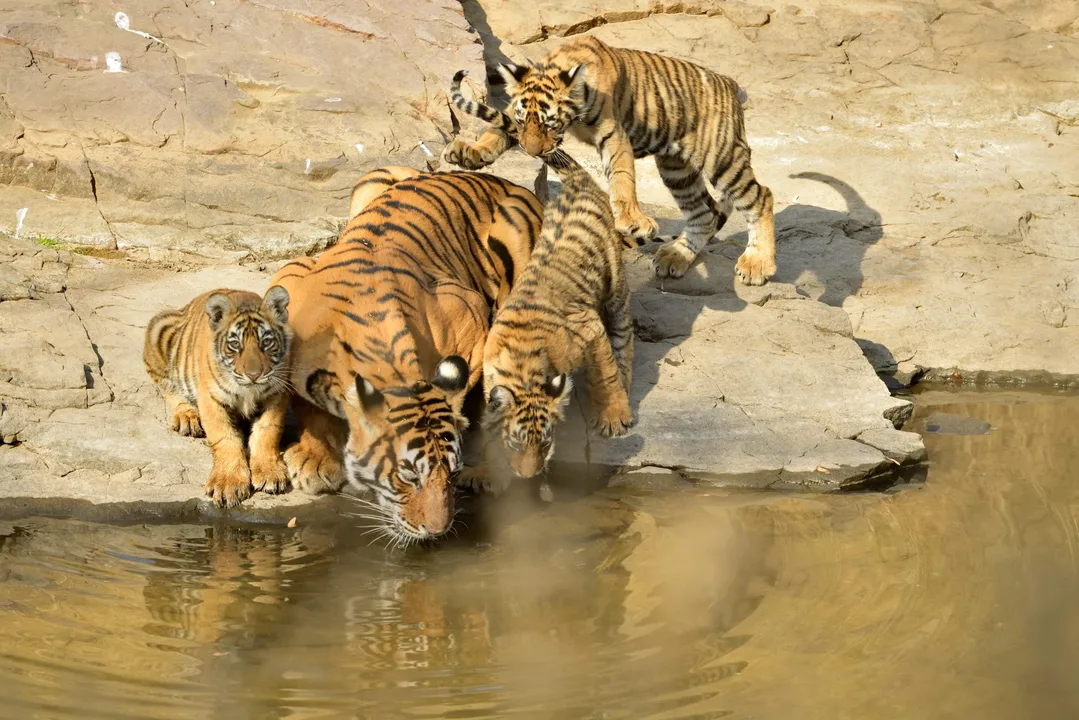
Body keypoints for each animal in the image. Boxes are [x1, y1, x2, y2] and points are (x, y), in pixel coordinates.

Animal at [143, 286, 293, 507]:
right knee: (168, 387)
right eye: (235, 344)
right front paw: (228, 483)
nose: (253, 374)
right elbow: (224, 437)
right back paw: (187, 417)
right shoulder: (210, 398)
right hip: (159, 329)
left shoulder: (277, 393)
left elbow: (268, 431)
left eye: (266, 342)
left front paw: (269, 473)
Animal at [265, 166, 544, 542]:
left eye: (451, 474)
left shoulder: (469, 314)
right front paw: (317, 459)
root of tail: (505, 181)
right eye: (408, 477)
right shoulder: (291, 276)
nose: (438, 530)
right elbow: (306, 401)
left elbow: (485, 391)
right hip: (372, 180)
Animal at [443, 35, 776, 285]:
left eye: (550, 124)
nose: (532, 151)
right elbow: (495, 130)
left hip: (720, 156)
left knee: (761, 196)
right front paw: (469, 152)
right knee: (704, 212)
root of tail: (729, 84)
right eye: (524, 123)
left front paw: (632, 221)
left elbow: (622, 177)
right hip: (676, 168)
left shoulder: (614, 134)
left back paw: (757, 264)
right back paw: (676, 256)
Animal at [479, 149, 634, 484]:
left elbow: (606, 375)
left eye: (546, 442)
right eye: (515, 444)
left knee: (623, 336)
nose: (528, 476)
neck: (522, 369)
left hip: (615, 286)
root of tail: (579, 182)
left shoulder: (589, 328)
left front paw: (613, 416)